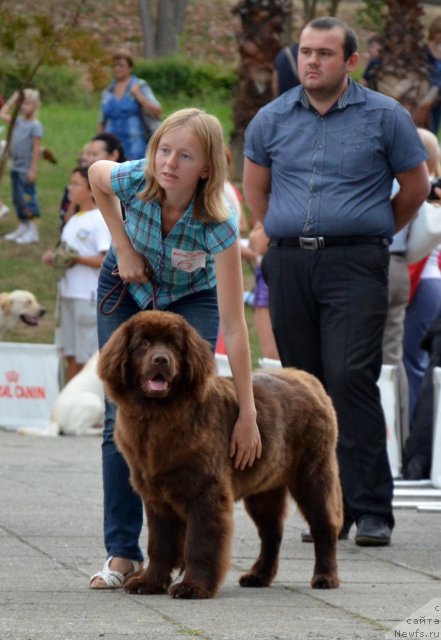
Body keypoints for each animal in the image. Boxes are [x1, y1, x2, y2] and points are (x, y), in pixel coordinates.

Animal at [98, 310, 342, 600]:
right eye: (143, 344)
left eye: (173, 345)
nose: (161, 359)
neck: (158, 417)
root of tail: (308, 379)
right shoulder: (156, 497)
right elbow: (160, 544)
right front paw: (150, 582)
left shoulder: (206, 493)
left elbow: (200, 544)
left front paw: (193, 586)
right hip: (264, 488)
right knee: (272, 533)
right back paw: (258, 576)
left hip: (312, 475)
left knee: (323, 525)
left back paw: (325, 577)